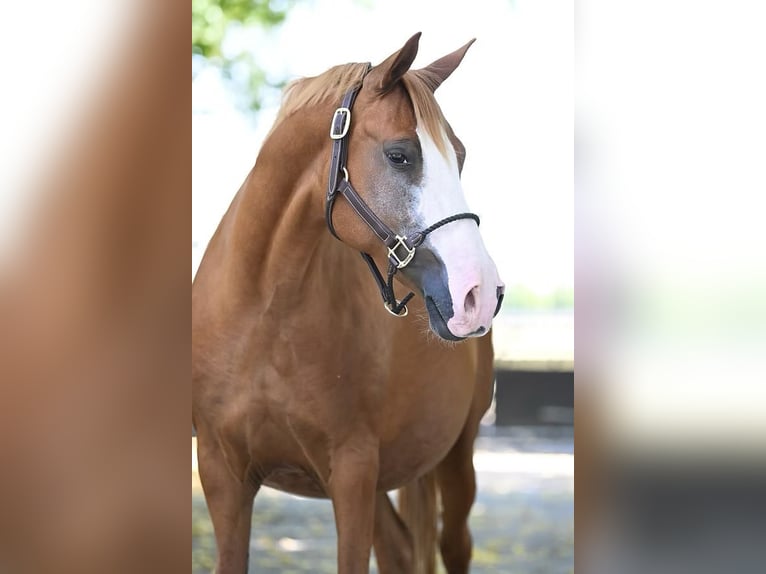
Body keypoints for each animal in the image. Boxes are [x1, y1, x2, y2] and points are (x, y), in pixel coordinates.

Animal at [192, 33, 508, 572]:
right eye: (400, 155)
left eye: (461, 156)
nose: (481, 293)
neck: (263, 315)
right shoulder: (223, 476)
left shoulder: (353, 474)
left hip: (455, 459)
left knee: (453, 546)